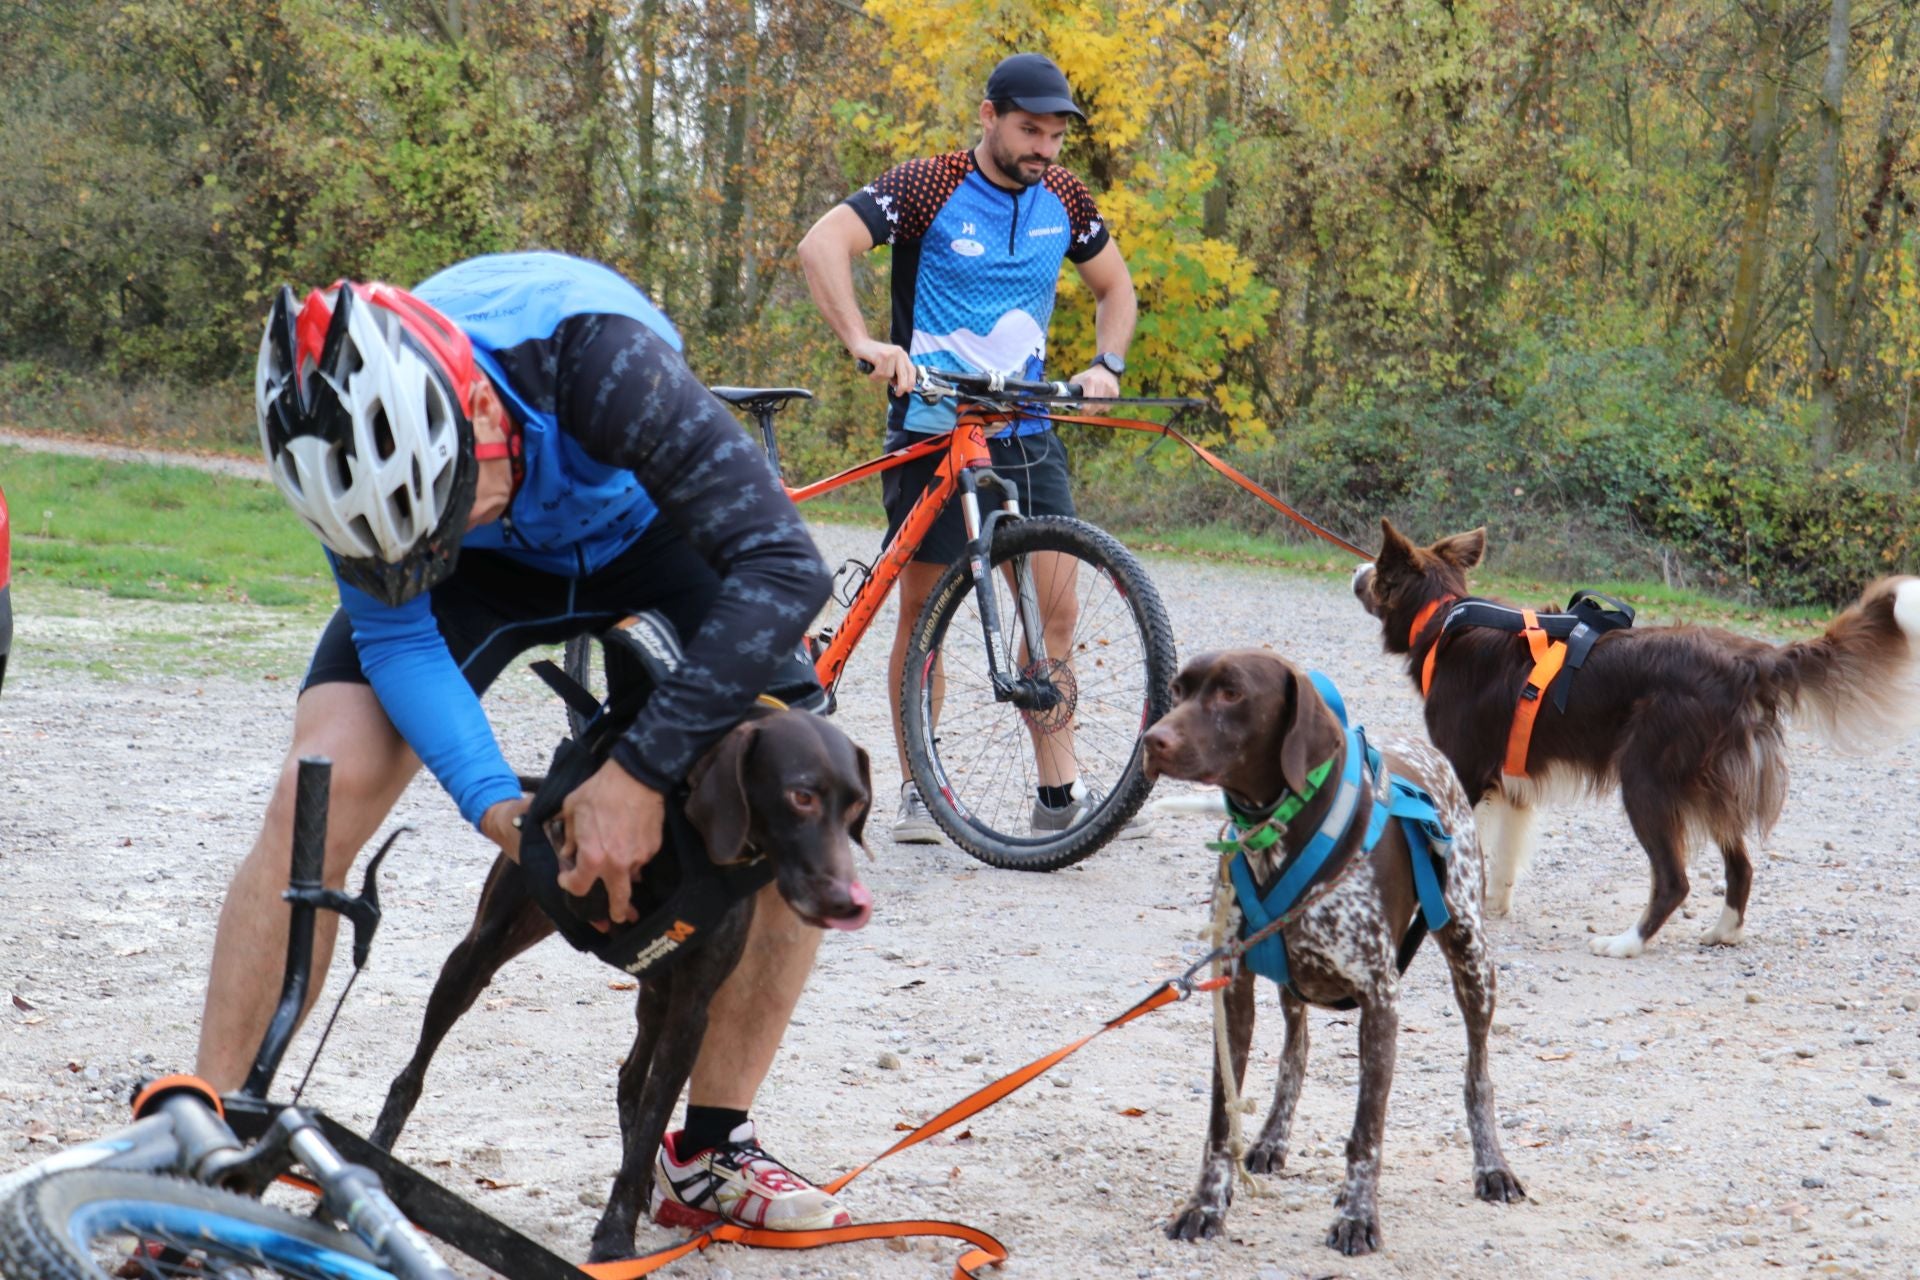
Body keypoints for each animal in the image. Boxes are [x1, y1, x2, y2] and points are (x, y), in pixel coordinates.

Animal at [1144, 656, 1520, 1258]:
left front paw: (1357, 1215)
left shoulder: (1380, 1001)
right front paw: (1206, 1205)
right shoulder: (1233, 993)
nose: (1152, 739)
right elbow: (1222, 1120)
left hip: (1472, 957)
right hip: (1294, 986)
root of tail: (1425, 749)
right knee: (1296, 1053)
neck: (1279, 834)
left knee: (1478, 1073)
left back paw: (1493, 1167)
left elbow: (1366, 1133)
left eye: (1232, 693)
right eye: (1179, 690)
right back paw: (1273, 1138)